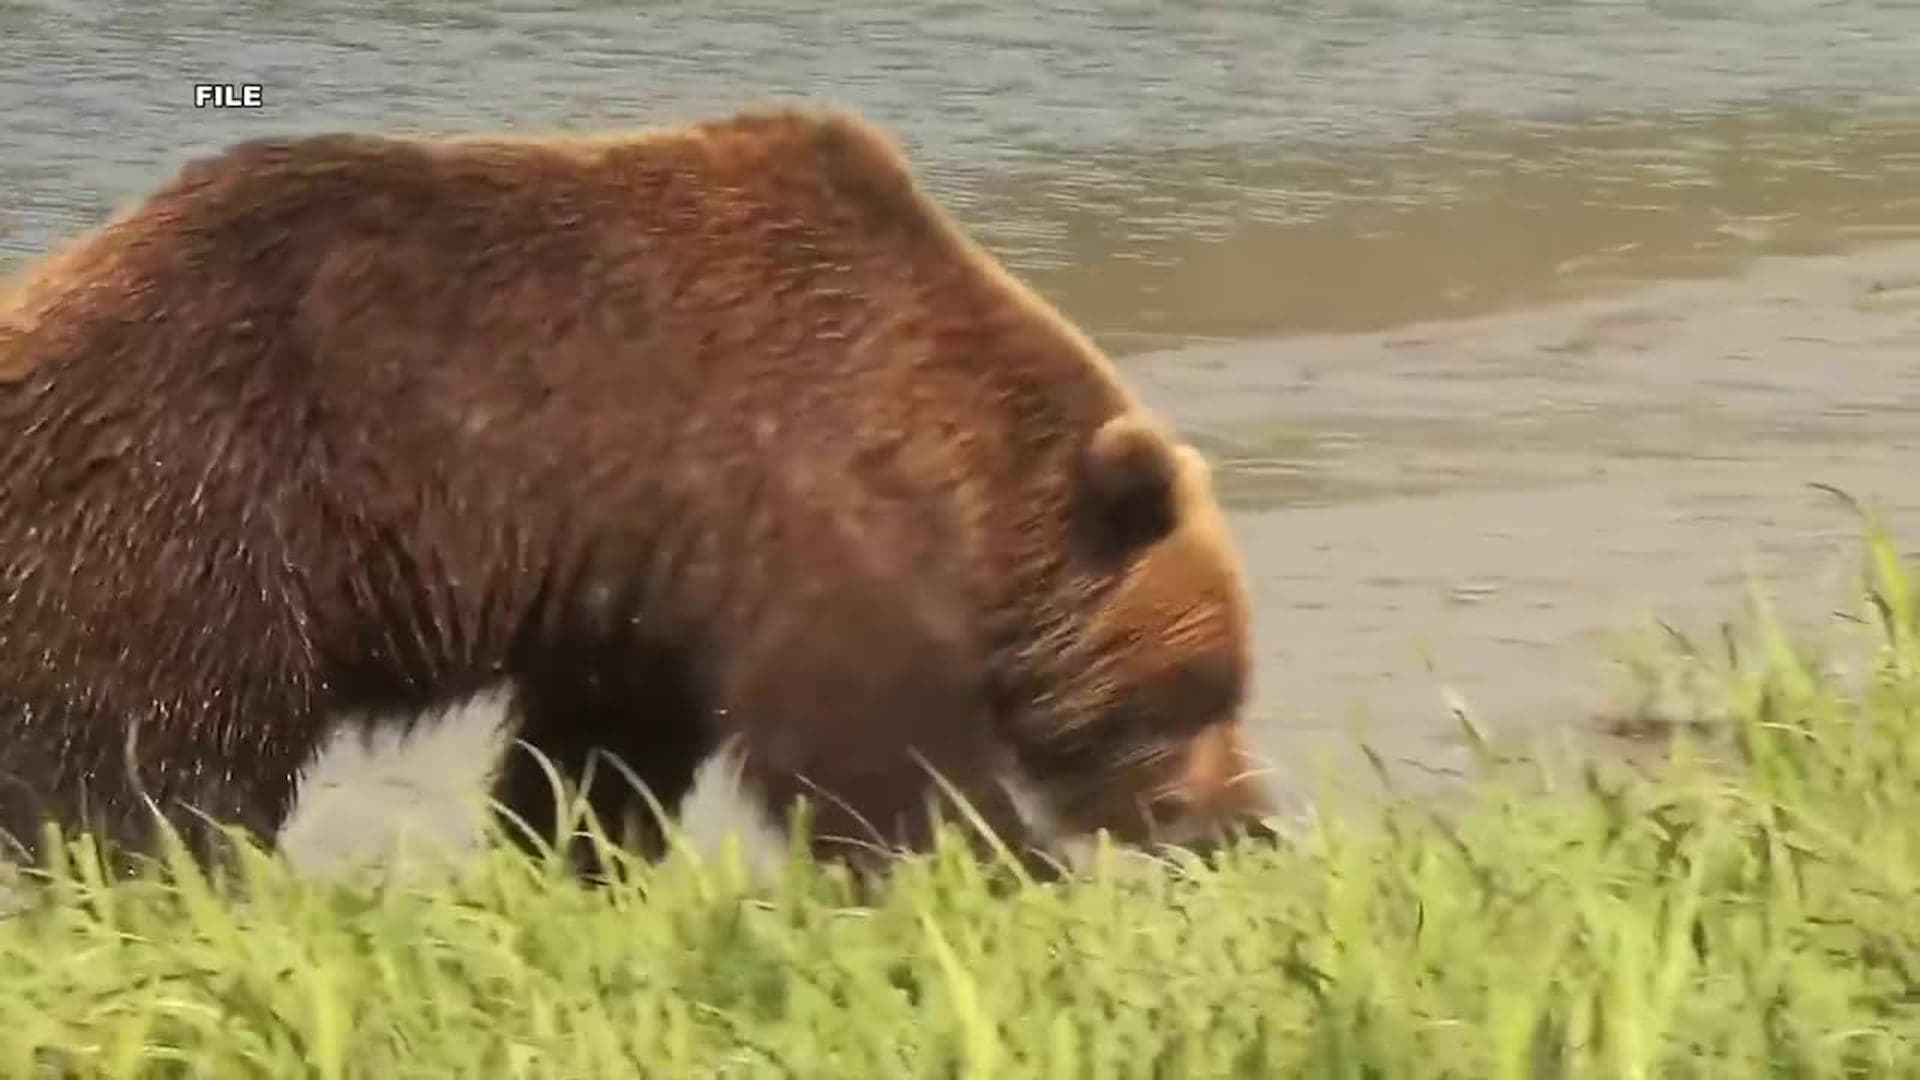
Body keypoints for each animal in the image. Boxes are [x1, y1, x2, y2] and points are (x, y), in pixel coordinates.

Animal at [0, 105, 1275, 879]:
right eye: (1199, 686)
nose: (1246, 822)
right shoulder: (798, 500)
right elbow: (869, 746)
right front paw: (997, 865)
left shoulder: (642, 579)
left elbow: (597, 752)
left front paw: (570, 857)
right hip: (203, 515)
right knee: (160, 770)